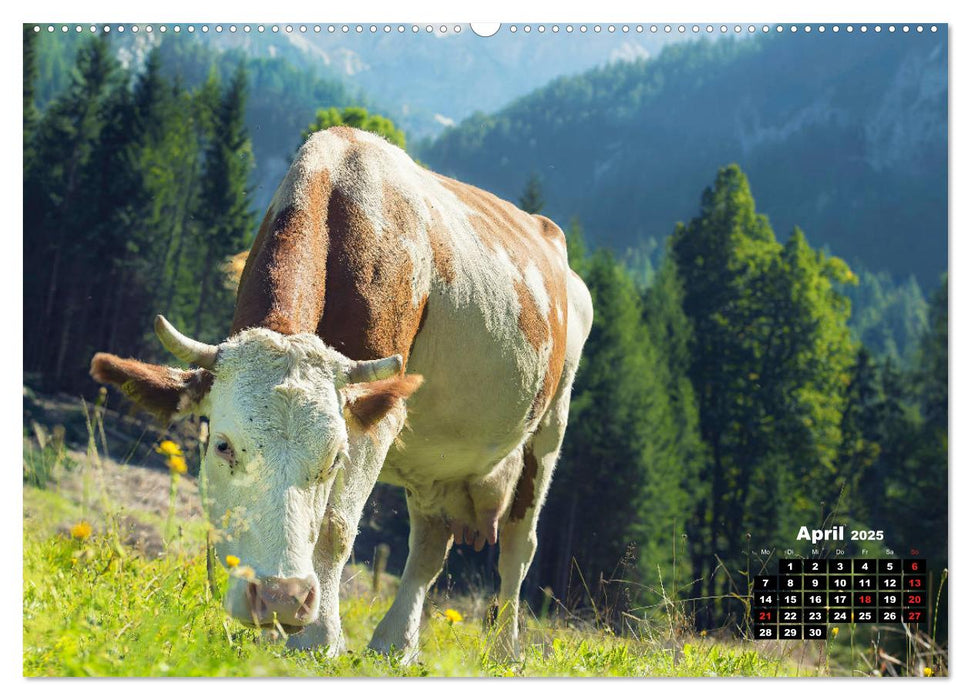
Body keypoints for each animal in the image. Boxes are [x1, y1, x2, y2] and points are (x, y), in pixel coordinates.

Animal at [89, 127, 592, 660]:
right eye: (222, 445)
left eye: (334, 459)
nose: (280, 596)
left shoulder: (378, 420)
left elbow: (334, 526)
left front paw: (319, 638)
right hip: (435, 462)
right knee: (429, 544)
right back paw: (395, 644)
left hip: (551, 424)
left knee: (519, 545)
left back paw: (504, 650)